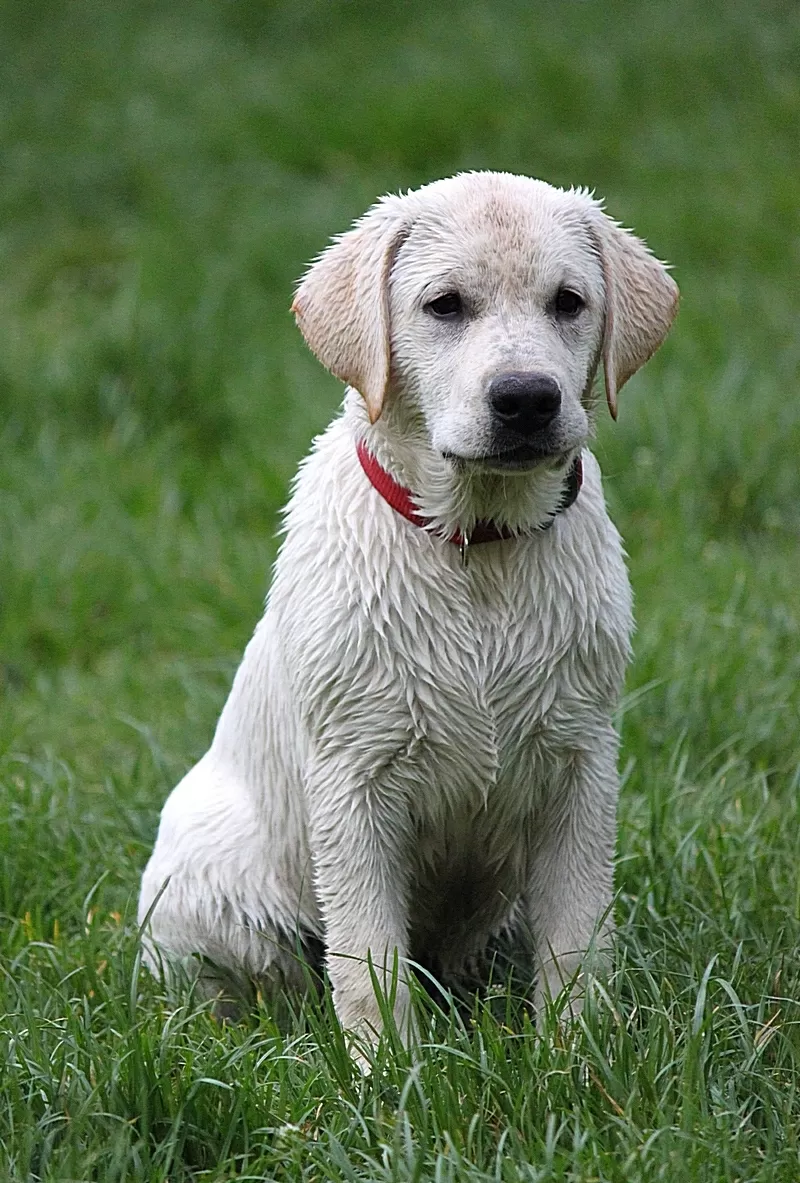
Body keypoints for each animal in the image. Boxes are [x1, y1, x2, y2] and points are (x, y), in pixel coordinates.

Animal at [137, 169, 676, 1045]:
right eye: (445, 305)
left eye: (568, 302)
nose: (526, 399)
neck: (476, 545)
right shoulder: (354, 783)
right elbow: (369, 960)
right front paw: (386, 1069)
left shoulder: (581, 766)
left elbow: (576, 942)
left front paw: (578, 1053)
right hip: (211, 888)